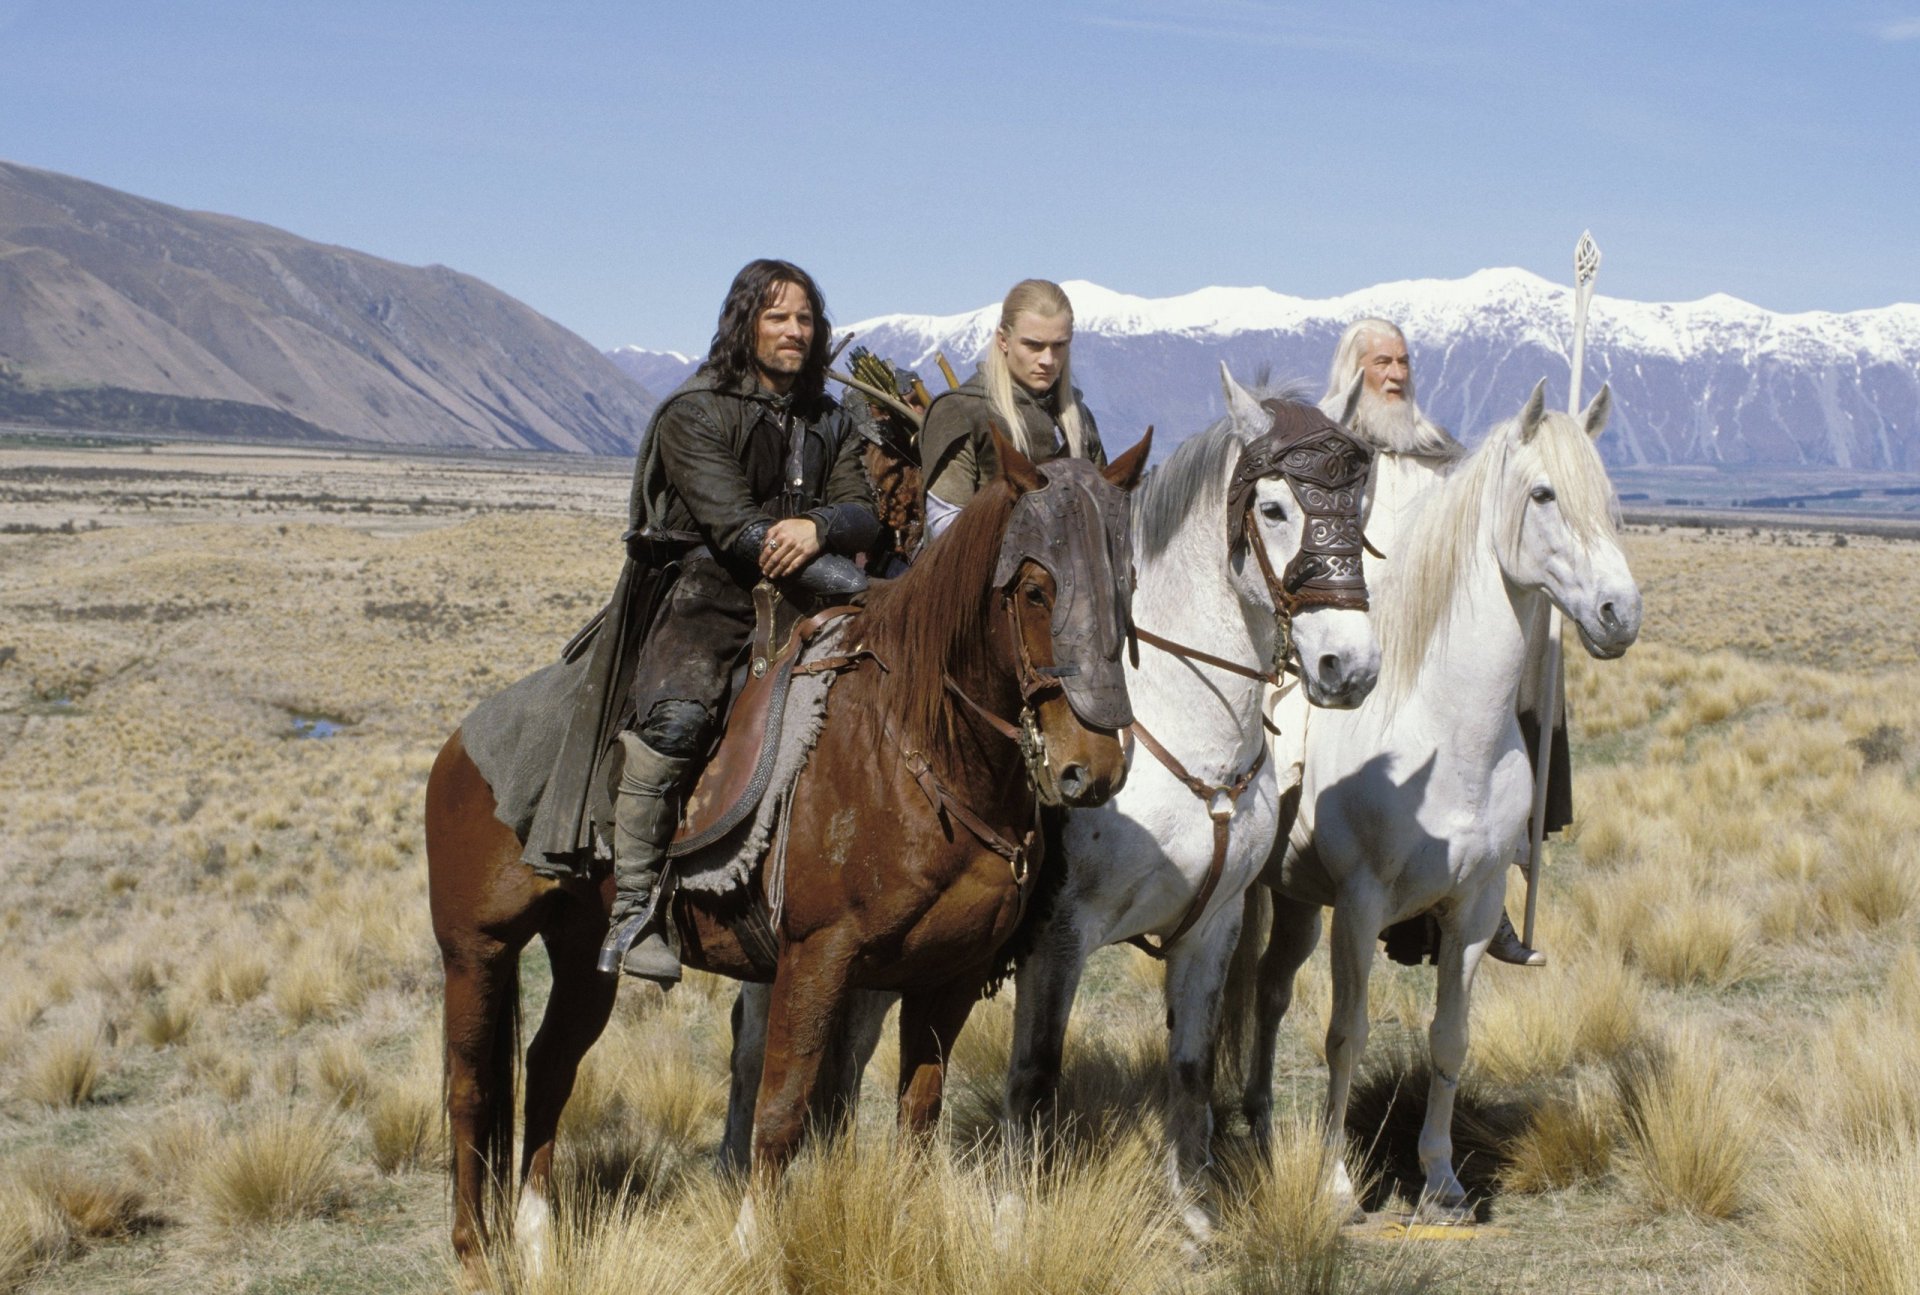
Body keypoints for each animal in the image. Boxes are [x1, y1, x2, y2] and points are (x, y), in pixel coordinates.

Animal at [428, 428, 1144, 1275]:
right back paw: (474, 1251)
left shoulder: (948, 977)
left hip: (581, 953)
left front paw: (904, 1231)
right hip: (475, 949)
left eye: (1127, 585)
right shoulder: (817, 956)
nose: (1091, 768)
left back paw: (538, 1242)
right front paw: (750, 1244)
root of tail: (458, 745)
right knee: (471, 1087)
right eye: (1035, 588)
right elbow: (781, 1108)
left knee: (548, 1067)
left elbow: (918, 1112)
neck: (911, 748)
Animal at [1236, 378, 1643, 1214]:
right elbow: (1348, 1032)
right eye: (1544, 493)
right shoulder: (1360, 907)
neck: (1449, 732)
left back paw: (1260, 1121)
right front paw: (1334, 1181)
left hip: (1295, 899)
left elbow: (1449, 1038)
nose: (1620, 613)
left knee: (1270, 992)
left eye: (1609, 496)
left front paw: (1442, 1178)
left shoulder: (1475, 910)